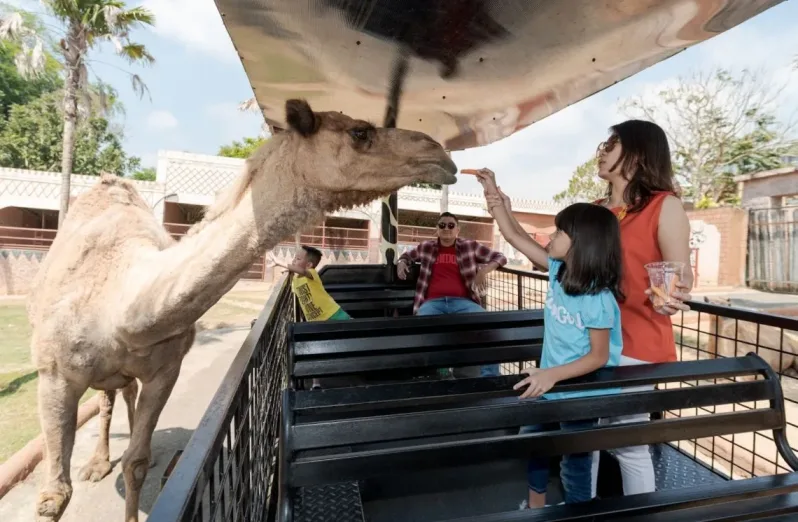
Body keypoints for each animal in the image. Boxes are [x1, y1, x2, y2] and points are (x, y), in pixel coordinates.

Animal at [25, 98, 456, 520]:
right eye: (360, 131)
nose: (441, 153)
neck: (121, 308)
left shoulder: (166, 369)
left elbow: (137, 462)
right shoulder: (53, 374)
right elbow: (54, 496)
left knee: (124, 393)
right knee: (108, 397)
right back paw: (98, 464)